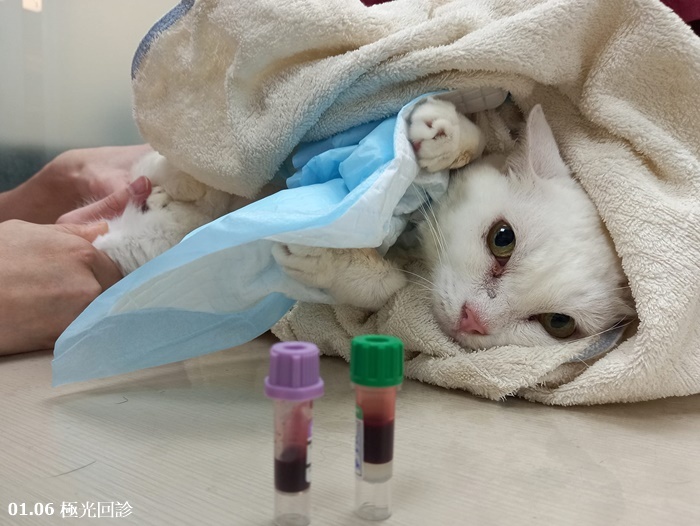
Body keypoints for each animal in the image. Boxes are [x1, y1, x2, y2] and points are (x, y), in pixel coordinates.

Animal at [272, 97, 636, 350]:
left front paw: (328, 254)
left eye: (558, 323)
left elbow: (386, 288)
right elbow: (480, 143)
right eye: (502, 238)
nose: (472, 319)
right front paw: (444, 133)